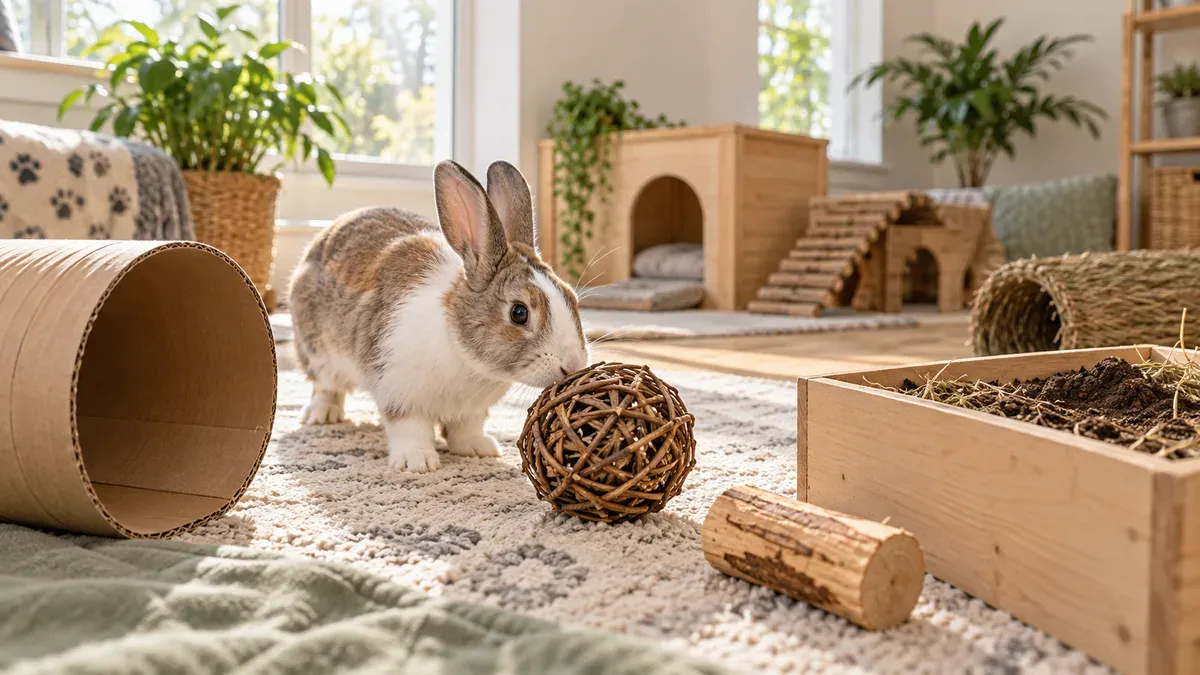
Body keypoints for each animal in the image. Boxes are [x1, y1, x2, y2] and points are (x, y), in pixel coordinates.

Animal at [288, 159, 590, 473]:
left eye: (571, 297)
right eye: (519, 313)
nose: (573, 365)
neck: (461, 350)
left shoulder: (471, 411)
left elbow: (467, 428)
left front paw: (477, 449)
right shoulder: (398, 391)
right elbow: (409, 427)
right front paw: (417, 462)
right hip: (316, 352)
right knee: (325, 386)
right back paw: (323, 415)